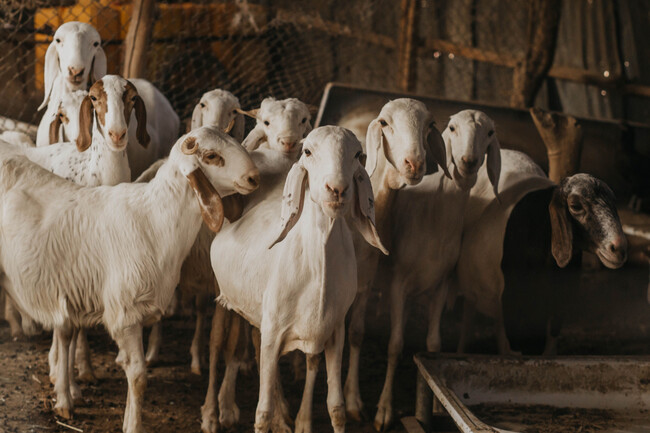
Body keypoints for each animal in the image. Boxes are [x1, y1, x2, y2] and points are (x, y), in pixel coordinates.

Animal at [0, 126, 259, 433]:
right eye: (211, 156)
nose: (254, 177)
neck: (155, 221)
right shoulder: (125, 315)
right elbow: (138, 376)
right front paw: (134, 424)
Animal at [211, 126, 386, 433]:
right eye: (308, 151)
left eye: (357, 154)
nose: (337, 189)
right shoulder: (273, 334)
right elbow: (262, 412)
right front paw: (271, 416)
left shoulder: (334, 333)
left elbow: (336, 408)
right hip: (228, 302)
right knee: (223, 344)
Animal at [373, 110, 501, 431]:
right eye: (452, 128)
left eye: (490, 132)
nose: (468, 162)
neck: (435, 213)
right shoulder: (398, 283)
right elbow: (395, 345)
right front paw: (384, 409)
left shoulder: (441, 285)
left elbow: (433, 343)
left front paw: (436, 401)